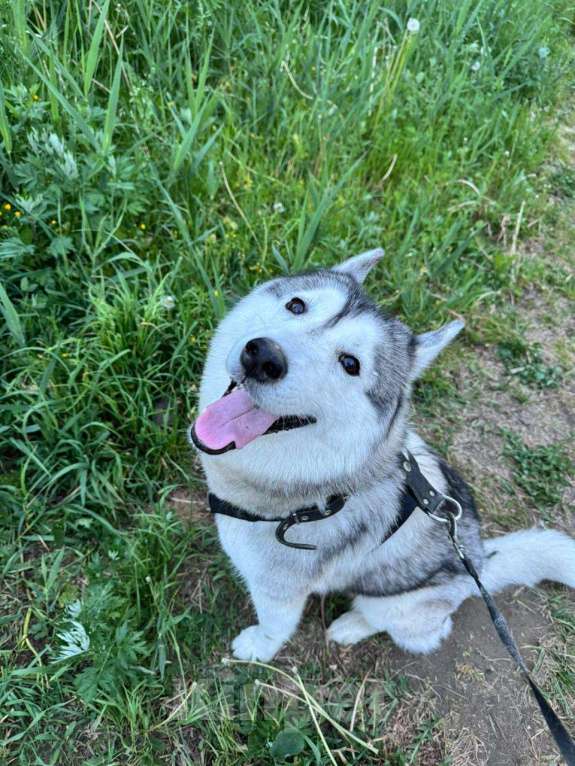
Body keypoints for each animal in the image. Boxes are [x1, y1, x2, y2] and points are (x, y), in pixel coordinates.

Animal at [191, 249, 575, 664]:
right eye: (296, 305)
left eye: (350, 364)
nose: (263, 357)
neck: (312, 496)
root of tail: (481, 564)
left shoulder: (278, 591)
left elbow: (274, 626)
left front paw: (258, 647)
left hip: (396, 605)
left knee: (419, 628)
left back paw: (351, 626)